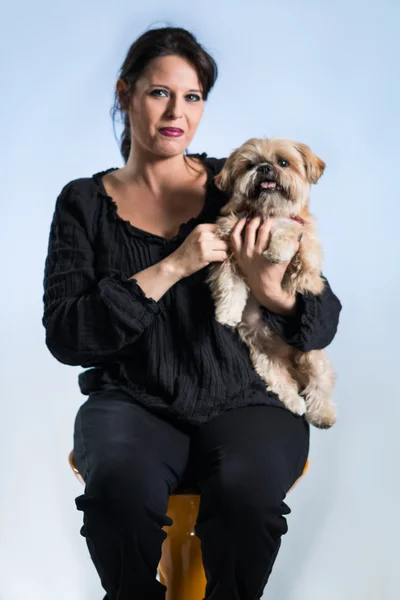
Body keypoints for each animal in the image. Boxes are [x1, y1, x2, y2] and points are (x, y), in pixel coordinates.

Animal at [208, 137, 336, 426]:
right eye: (249, 165)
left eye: (283, 162)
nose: (265, 168)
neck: (267, 213)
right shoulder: (229, 252)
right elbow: (230, 286)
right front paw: (227, 313)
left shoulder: (307, 253)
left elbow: (291, 233)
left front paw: (276, 250)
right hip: (264, 357)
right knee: (282, 382)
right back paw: (295, 403)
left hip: (313, 353)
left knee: (320, 383)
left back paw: (322, 414)